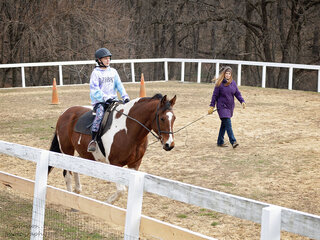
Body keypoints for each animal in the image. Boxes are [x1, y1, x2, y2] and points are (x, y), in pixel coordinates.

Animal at [48, 93, 176, 202]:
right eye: (162, 118)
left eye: (174, 118)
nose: (169, 144)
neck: (128, 130)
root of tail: (64, 113)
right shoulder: (116, 163)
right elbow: (121, 190)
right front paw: (107, 203)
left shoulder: (134, 164)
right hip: (67, 151)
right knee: (67, 174)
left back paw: (77, 191)